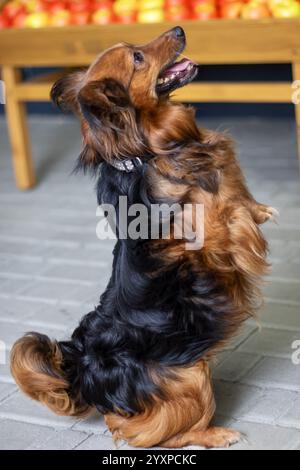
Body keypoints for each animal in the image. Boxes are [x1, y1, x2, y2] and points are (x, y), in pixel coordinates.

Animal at [10, 27, 276, 450]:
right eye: (137, 58)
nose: (180, 29)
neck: (148, 151)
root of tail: (84, 370)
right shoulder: (208, 236)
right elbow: (227, 213)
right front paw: (247, 213)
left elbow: (234, 185)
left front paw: (258, 207)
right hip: (191, 378)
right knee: (156, 435)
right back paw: (217, 433)